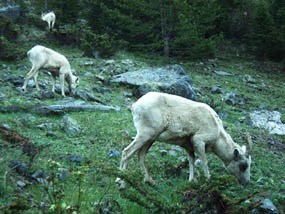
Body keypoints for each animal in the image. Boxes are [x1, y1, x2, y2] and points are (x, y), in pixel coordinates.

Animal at [115, 91, 251, 188]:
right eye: (243, 165)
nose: (246, 183)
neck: (218, 133)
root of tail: (135, 105)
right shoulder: (199, 141)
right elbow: (204, 161)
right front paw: (208, 180)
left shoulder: (189, 147)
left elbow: (191, 161)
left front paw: (191, 181)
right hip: (145, 135)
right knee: (127, 152)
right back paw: (120, 182)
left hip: (150, 138)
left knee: (141, 155)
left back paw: (150, 181)